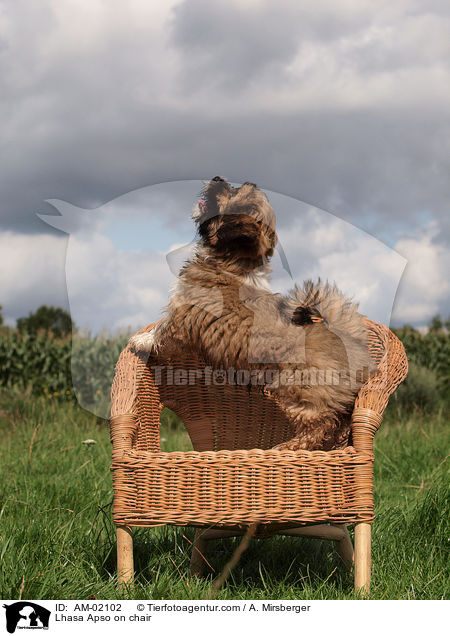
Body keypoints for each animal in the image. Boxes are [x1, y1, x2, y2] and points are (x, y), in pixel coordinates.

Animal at [129, 176, 372, 450]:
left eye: (230, 192)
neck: (233, 264)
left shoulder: (181, 316)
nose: (217, 178)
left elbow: (162, 331)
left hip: (299, 390)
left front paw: (140, 339)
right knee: (339, 420)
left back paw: (288, 447)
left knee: (320, 425)